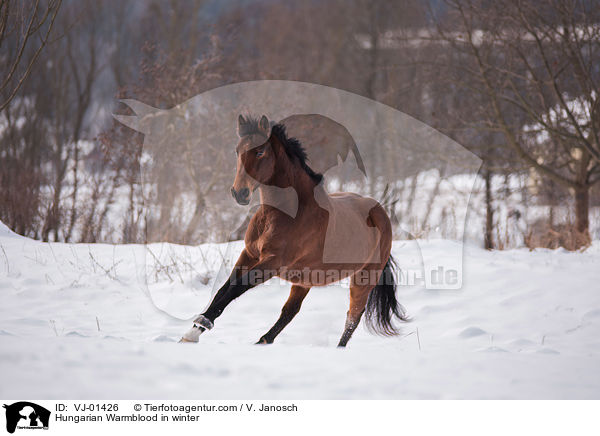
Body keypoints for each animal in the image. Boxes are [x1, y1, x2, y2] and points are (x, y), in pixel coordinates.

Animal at [180, 114, 408, 346]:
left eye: (260, 151)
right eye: (237, 151)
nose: (239, 193)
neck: (286, 213)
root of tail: (380, 211)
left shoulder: (273, 262)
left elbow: (237, 287)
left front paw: (198, 327)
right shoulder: (249, 254)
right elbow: (224, 289)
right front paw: (193, 331)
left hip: (364, 278)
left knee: (352, 317)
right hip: (305, 280)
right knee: (290, 311)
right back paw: (262, 341)